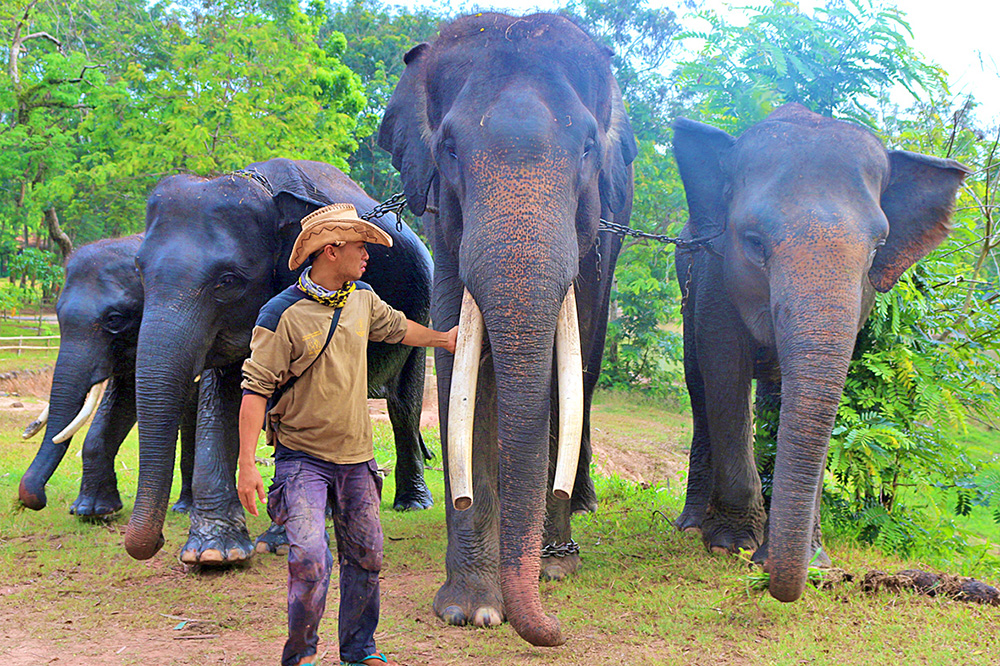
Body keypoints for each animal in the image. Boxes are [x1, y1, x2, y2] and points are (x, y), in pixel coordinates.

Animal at [17, 235, 196, 520]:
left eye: (114, 319)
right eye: (57, 315)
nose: (37, 499)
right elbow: (123, 400)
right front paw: (92, 512)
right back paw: (184, 507)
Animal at [122, 157, 434, 564]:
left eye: (228, 280)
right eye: (139, 271)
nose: (156, 541)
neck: (264, 187)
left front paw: (281, 542)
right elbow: (221, 399)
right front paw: (211, 555)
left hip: (422, 313)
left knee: (403, 405)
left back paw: (411, 504)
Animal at [378, 10, 636, 644]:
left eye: (588, 146)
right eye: (448, 148)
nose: (557, 630)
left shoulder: (596, 236)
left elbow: (565, 366)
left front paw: (554, 567)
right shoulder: (443, 223)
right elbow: (458, 362)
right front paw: (470, 610)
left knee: (585, 376)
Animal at [672, 102, 968, 600]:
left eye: (878, 247)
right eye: (753, 242)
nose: (774, 578)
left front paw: (813, 560)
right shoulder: (713, 277)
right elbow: (725, 373)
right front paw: (731, 544)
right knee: (701, 391)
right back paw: (693, 526)